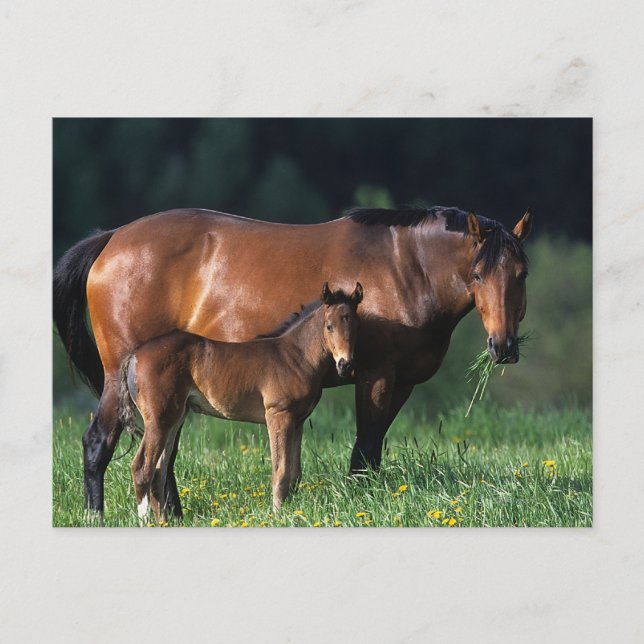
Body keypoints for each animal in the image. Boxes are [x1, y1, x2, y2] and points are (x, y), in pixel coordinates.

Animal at [117, 282, 362, 521]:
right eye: (329, 326)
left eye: (355, 325)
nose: (345, 364)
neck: (295, 356)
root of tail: (134, 355)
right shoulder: (278, 415)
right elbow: (281, 471)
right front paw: (278, 515)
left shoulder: (297, 421)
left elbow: (295, 474)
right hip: (158, 420)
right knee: (142, 468)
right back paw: (145, 521)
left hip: (174, 419)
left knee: (158, 471)